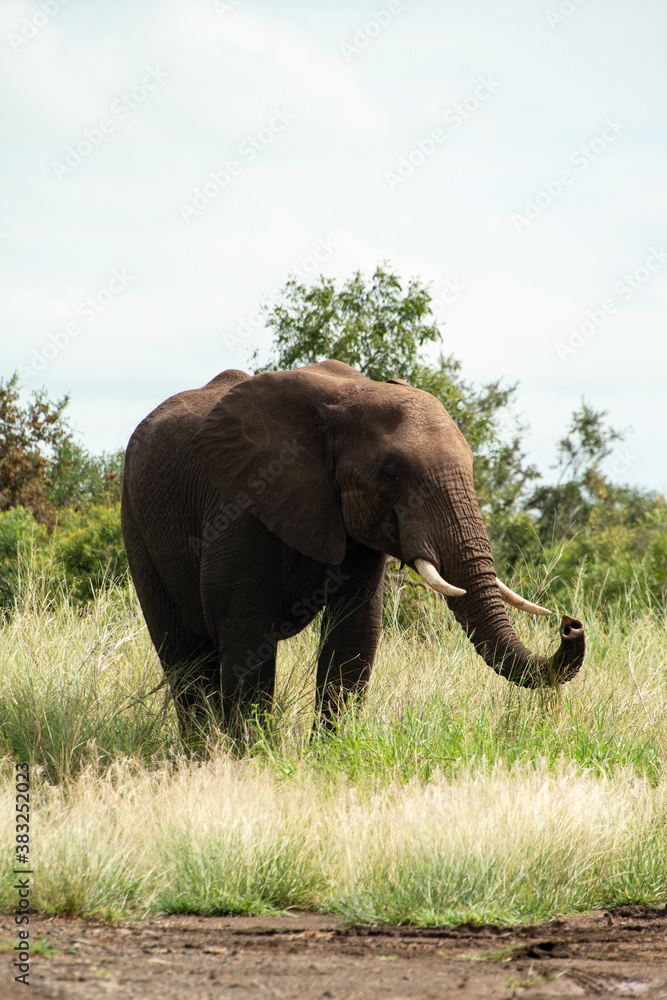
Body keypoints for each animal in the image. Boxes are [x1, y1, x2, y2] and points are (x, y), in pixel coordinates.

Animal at [121, 360, 584, 739]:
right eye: (392, 475)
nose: (571, 623)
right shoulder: (240, 505)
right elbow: (247, 634)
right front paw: (252, 759)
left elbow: (355, 630)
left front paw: (329, 753)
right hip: (136, 524)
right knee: (182, 653)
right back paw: (202, 752)